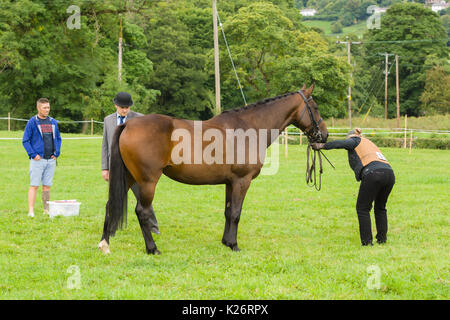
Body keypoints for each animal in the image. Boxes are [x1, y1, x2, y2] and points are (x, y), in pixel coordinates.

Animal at [99, 84, 326, 254]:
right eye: (315, 107)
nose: (323, 135)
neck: (248, 128)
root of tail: (128, 125)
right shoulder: (242, 181)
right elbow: (236, 213)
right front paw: (234, 245)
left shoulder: (230, 183)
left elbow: (228, 212)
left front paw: (226, 242)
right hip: (147, 181)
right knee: (142, 212)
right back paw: (152, 248)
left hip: (128, 177)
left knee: (110, 204)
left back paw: (104, 244)